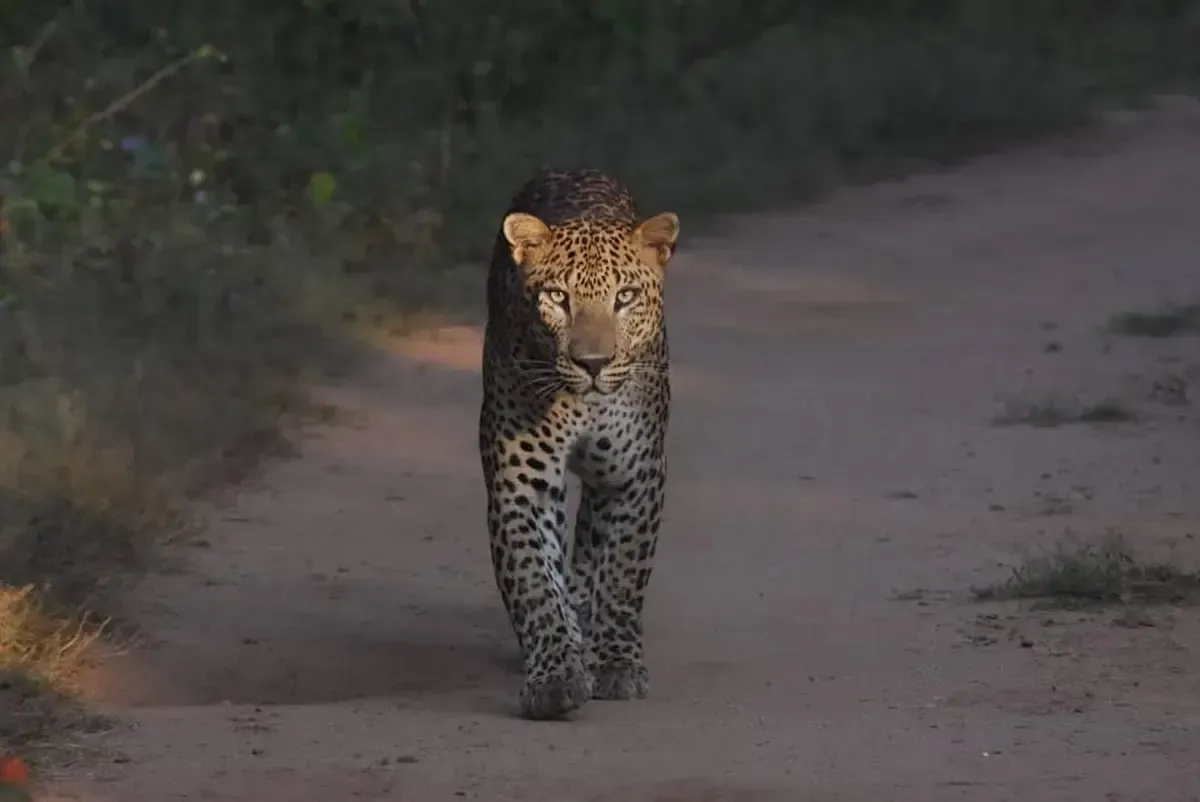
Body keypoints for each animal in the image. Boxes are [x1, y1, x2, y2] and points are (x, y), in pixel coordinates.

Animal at [478, 168, 681, 720]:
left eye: (625, 297)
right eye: (557, 297)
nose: (593, 363)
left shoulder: (636, 476)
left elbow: (622, 575)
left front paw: (618, 665)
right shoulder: (521, 483)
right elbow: (533, 581)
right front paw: (554, 677)